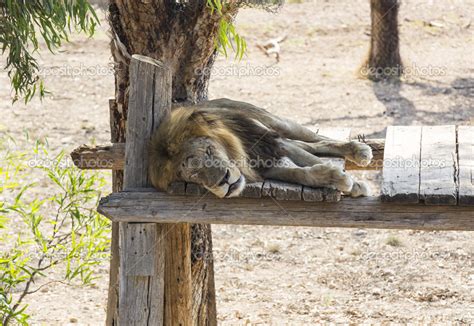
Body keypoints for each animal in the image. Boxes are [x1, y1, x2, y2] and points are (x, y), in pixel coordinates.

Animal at [150, 97, 372, 199]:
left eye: (209, 151)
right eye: (192, 175)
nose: (224, 181)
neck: (238, 153)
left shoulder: (272, 144)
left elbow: (311, 160)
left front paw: (353, 184)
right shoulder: (265, 166)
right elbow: (302, 173)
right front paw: (333, 178)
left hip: (277, 123)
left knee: (316, 138)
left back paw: (358, 149)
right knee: (311, 145)